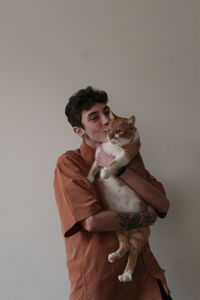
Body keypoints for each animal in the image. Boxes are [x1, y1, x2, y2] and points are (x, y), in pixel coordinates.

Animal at [87, 112, 152, 282]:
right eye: (108, 130)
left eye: (117, 131)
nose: (109, 137)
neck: (112, 146)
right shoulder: (99, 154)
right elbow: (93, 167)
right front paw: (89, 178)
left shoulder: (125, 156)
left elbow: (113, 163)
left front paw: (105, 173)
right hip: (117, 225)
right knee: (125, 246)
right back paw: (114, 256)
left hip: (138, 233)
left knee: (133, 254)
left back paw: (126, 275)